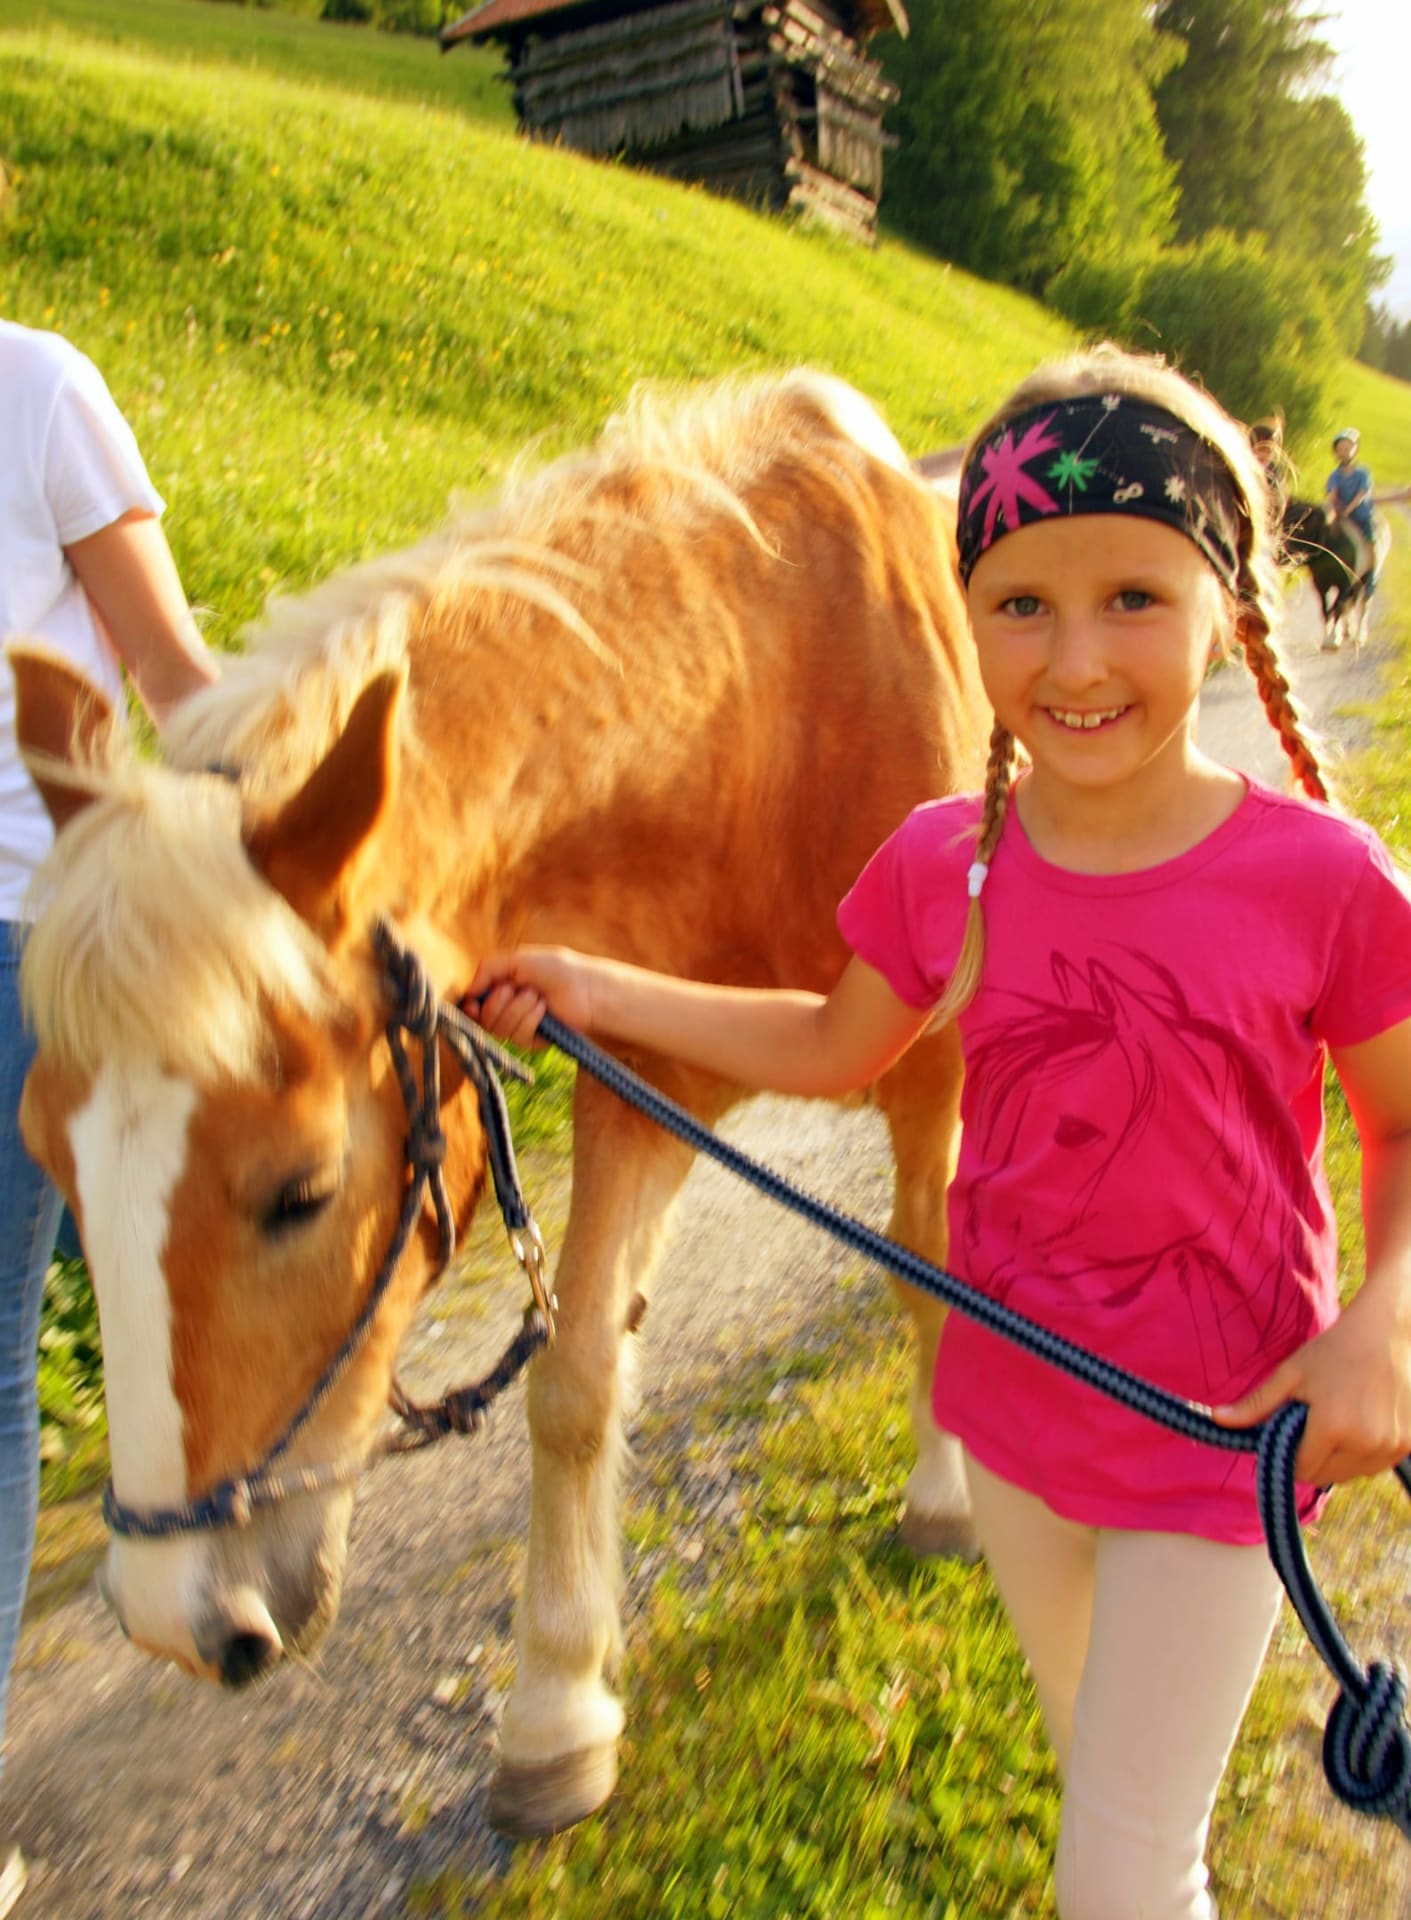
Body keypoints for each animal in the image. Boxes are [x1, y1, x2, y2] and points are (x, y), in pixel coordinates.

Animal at [10, 369, 990, 1839]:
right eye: (51, 1166)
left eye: (302, 1191)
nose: (177, 1622)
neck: (776, 695)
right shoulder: (637, 1080)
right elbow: (577, 1381)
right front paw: (557, 1709)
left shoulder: (928, 1061)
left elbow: (929, 1268)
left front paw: (942, 1495)